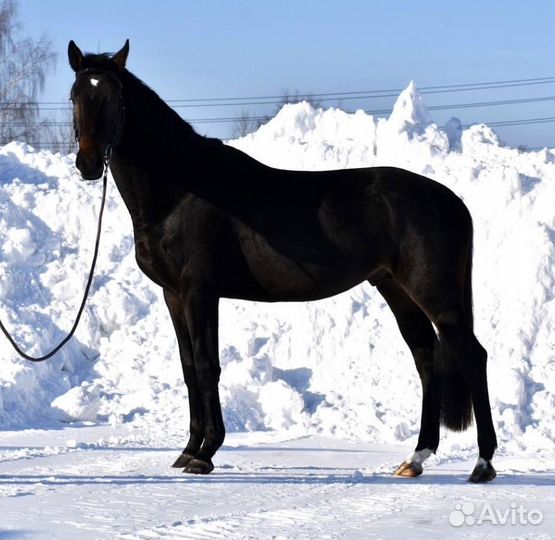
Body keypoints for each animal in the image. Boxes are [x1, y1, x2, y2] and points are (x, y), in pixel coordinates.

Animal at [66, 40, 500, 484]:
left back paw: (483, 464)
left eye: (116, 97)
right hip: (396, 290)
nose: (88, 163)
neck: (180, 191)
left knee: (472, 356)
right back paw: (416, 458)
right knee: (426, 358)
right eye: (76, 95)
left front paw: (206, 454)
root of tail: (451, 200)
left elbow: (207, 365)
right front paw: (188, 450)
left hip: (436, 295)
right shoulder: (173, 295)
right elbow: (188, 369)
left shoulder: (199, 291)